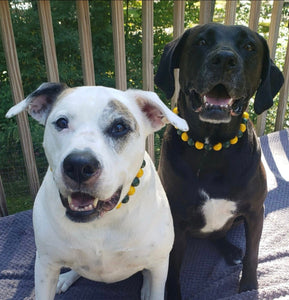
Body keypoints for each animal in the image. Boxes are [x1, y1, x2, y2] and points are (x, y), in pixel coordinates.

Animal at [6, 83, 188, 300]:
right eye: (61, 122)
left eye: (119, 127)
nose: (79, 165)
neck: (102, 221)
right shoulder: (45, 265)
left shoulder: (160, 264)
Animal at [154, 22, 282, 298]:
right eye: (201, 42)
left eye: (249, 46)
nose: (224, 59)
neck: (211, 147)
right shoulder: (177, 221)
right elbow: (173, 268)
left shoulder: (255, 212)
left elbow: (253, 256)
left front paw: (249, 288)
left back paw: (231, 251)